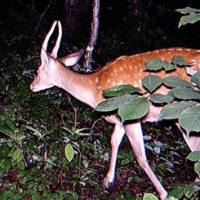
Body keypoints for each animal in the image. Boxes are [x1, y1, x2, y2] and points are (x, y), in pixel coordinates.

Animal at [30, 20, 200, 200]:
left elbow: (140, 156)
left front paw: (163, 193)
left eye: (38, 70)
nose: (32, 86)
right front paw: (107, 180)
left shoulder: (131, 113)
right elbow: (114, 141)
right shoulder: (121, 117)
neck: (94, 88)